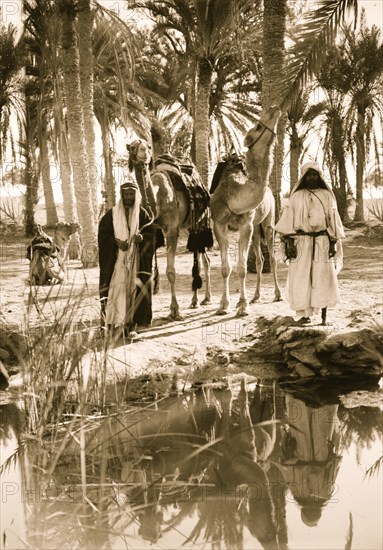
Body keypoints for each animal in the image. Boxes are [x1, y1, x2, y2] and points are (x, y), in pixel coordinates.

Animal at [127, 142, 212, 322]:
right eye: (132, 147)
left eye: (148, 146)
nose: (143, 152)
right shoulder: (151, 232)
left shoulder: (172, 231)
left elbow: (171, 272)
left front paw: (175, 310)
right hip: (191, 225)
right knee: (201, 260)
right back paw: (195, 300)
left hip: (202, 221)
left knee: (205, 260)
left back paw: (207, 298)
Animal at [210, 105, 282, 316]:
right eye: (258, 126)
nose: (275, 108)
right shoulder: (219, 224)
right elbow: (226, 268)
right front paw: (223, 305)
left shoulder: (246, 225)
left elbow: (241, 268)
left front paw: (242, 305)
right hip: (257, 228)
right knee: (259, 259)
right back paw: (256, 295)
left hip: (267, 222)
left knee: (272, 258)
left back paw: (277, 294)